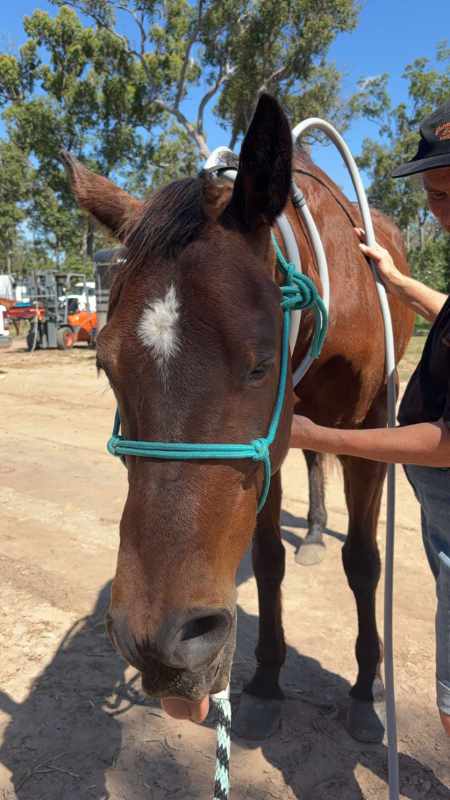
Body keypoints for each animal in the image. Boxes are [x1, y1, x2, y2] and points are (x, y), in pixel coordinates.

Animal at [63, 94, 414, 744]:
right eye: (105, 365)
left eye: (259, 365)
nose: (155, 641)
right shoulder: (271, 445)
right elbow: (269, 561)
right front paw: (267, 681)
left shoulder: (369, 431)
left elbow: (363, 562)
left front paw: (364, 691)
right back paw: (315, 532)